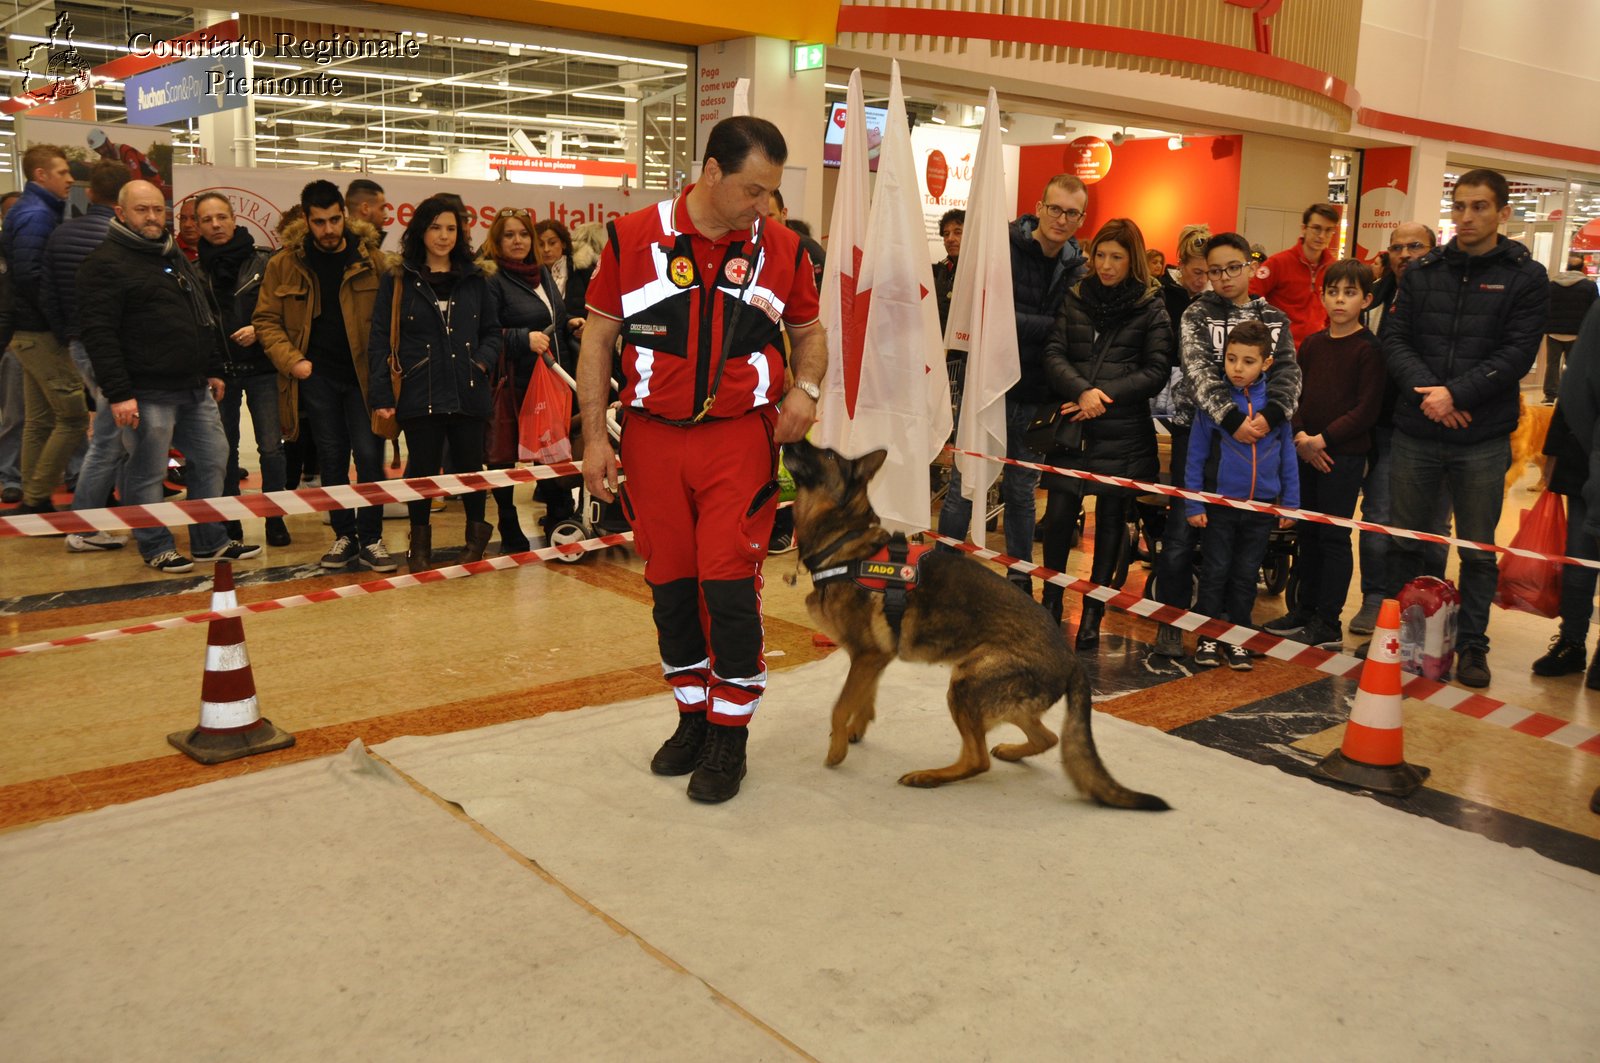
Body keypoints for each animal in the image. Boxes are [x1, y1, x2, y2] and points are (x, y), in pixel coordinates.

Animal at [790, 435, 1177, 810]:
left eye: (827, 455)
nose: (791, 440)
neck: (844, 541)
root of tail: (1072, 660)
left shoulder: (867, 655)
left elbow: (840, 706)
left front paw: (837, 750)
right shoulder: (873, 658)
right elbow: (864, 697)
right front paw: (856, 729)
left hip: (966, 685)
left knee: (978, 760)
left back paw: (928, 776)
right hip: (994, 696)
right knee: (1046, 737)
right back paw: (1011, 752)